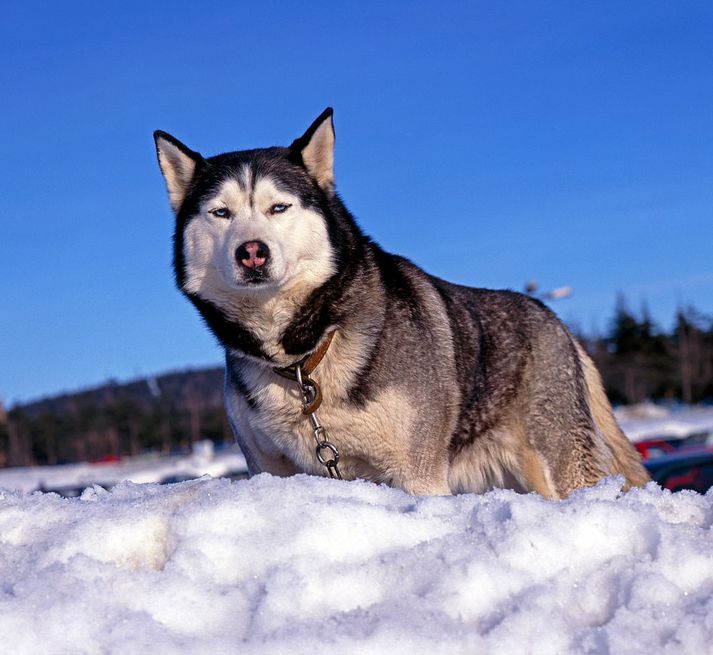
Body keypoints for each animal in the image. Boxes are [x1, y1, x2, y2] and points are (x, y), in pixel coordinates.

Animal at [153, 109, 648, 498]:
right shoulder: (272, 469)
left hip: (561, 460)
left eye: (279, 207)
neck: (303, 359)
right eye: (221, 213)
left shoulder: (418, 473)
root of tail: (556, 321)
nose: (251, 251)